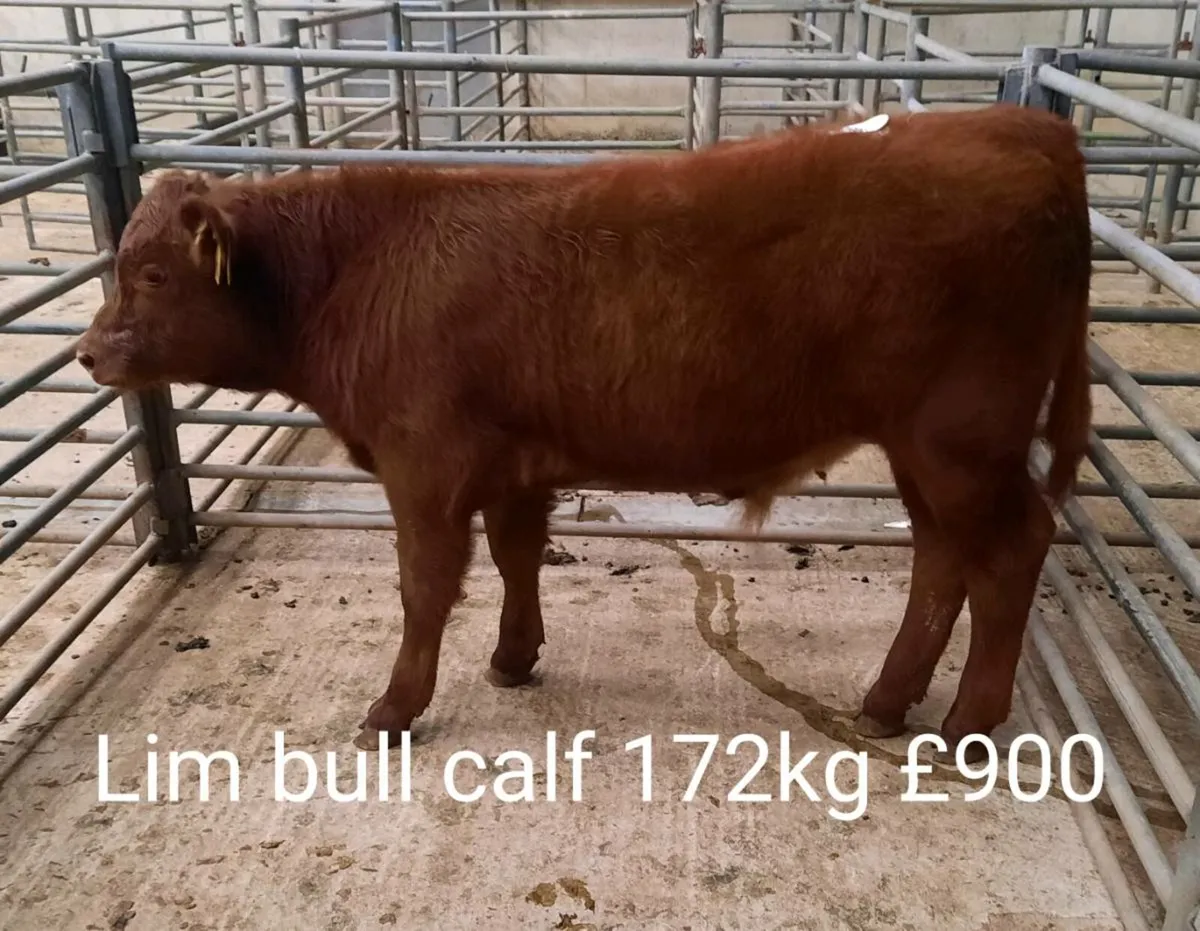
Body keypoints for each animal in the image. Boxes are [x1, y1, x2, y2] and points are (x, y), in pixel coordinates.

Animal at [76, 103, 1093, 757]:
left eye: (154, 274)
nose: (87, 353)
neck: (359, 270)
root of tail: (1029, 127)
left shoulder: (423, 464)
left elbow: (423, 590)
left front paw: (396, 707)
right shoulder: (513, 462)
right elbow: (518, 555)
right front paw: (512, 658)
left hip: (962, 437)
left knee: (1009, 550)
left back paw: (966, 727)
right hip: (926, 446)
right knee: (942, 558)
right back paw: (887, 702)